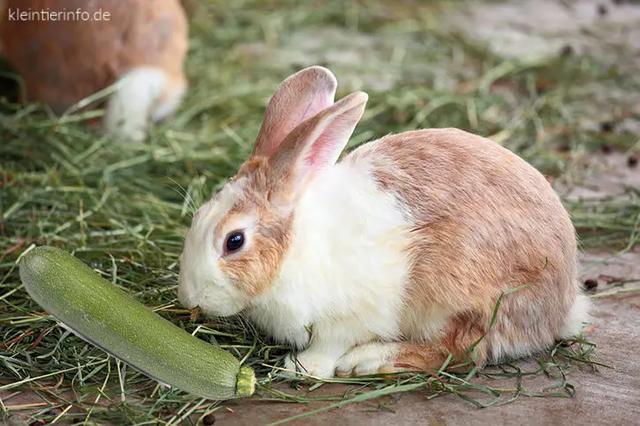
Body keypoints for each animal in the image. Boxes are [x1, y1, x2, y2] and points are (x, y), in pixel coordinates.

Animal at [178, 66, 589, 378]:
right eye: (197, 217)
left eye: (234, 241)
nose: (188, 298)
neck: (296, 247)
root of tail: (561, 305)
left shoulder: (348, 317)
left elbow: (328, 346)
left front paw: (300, 368)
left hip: (463, 299)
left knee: (461, 351)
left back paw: (368, 361)